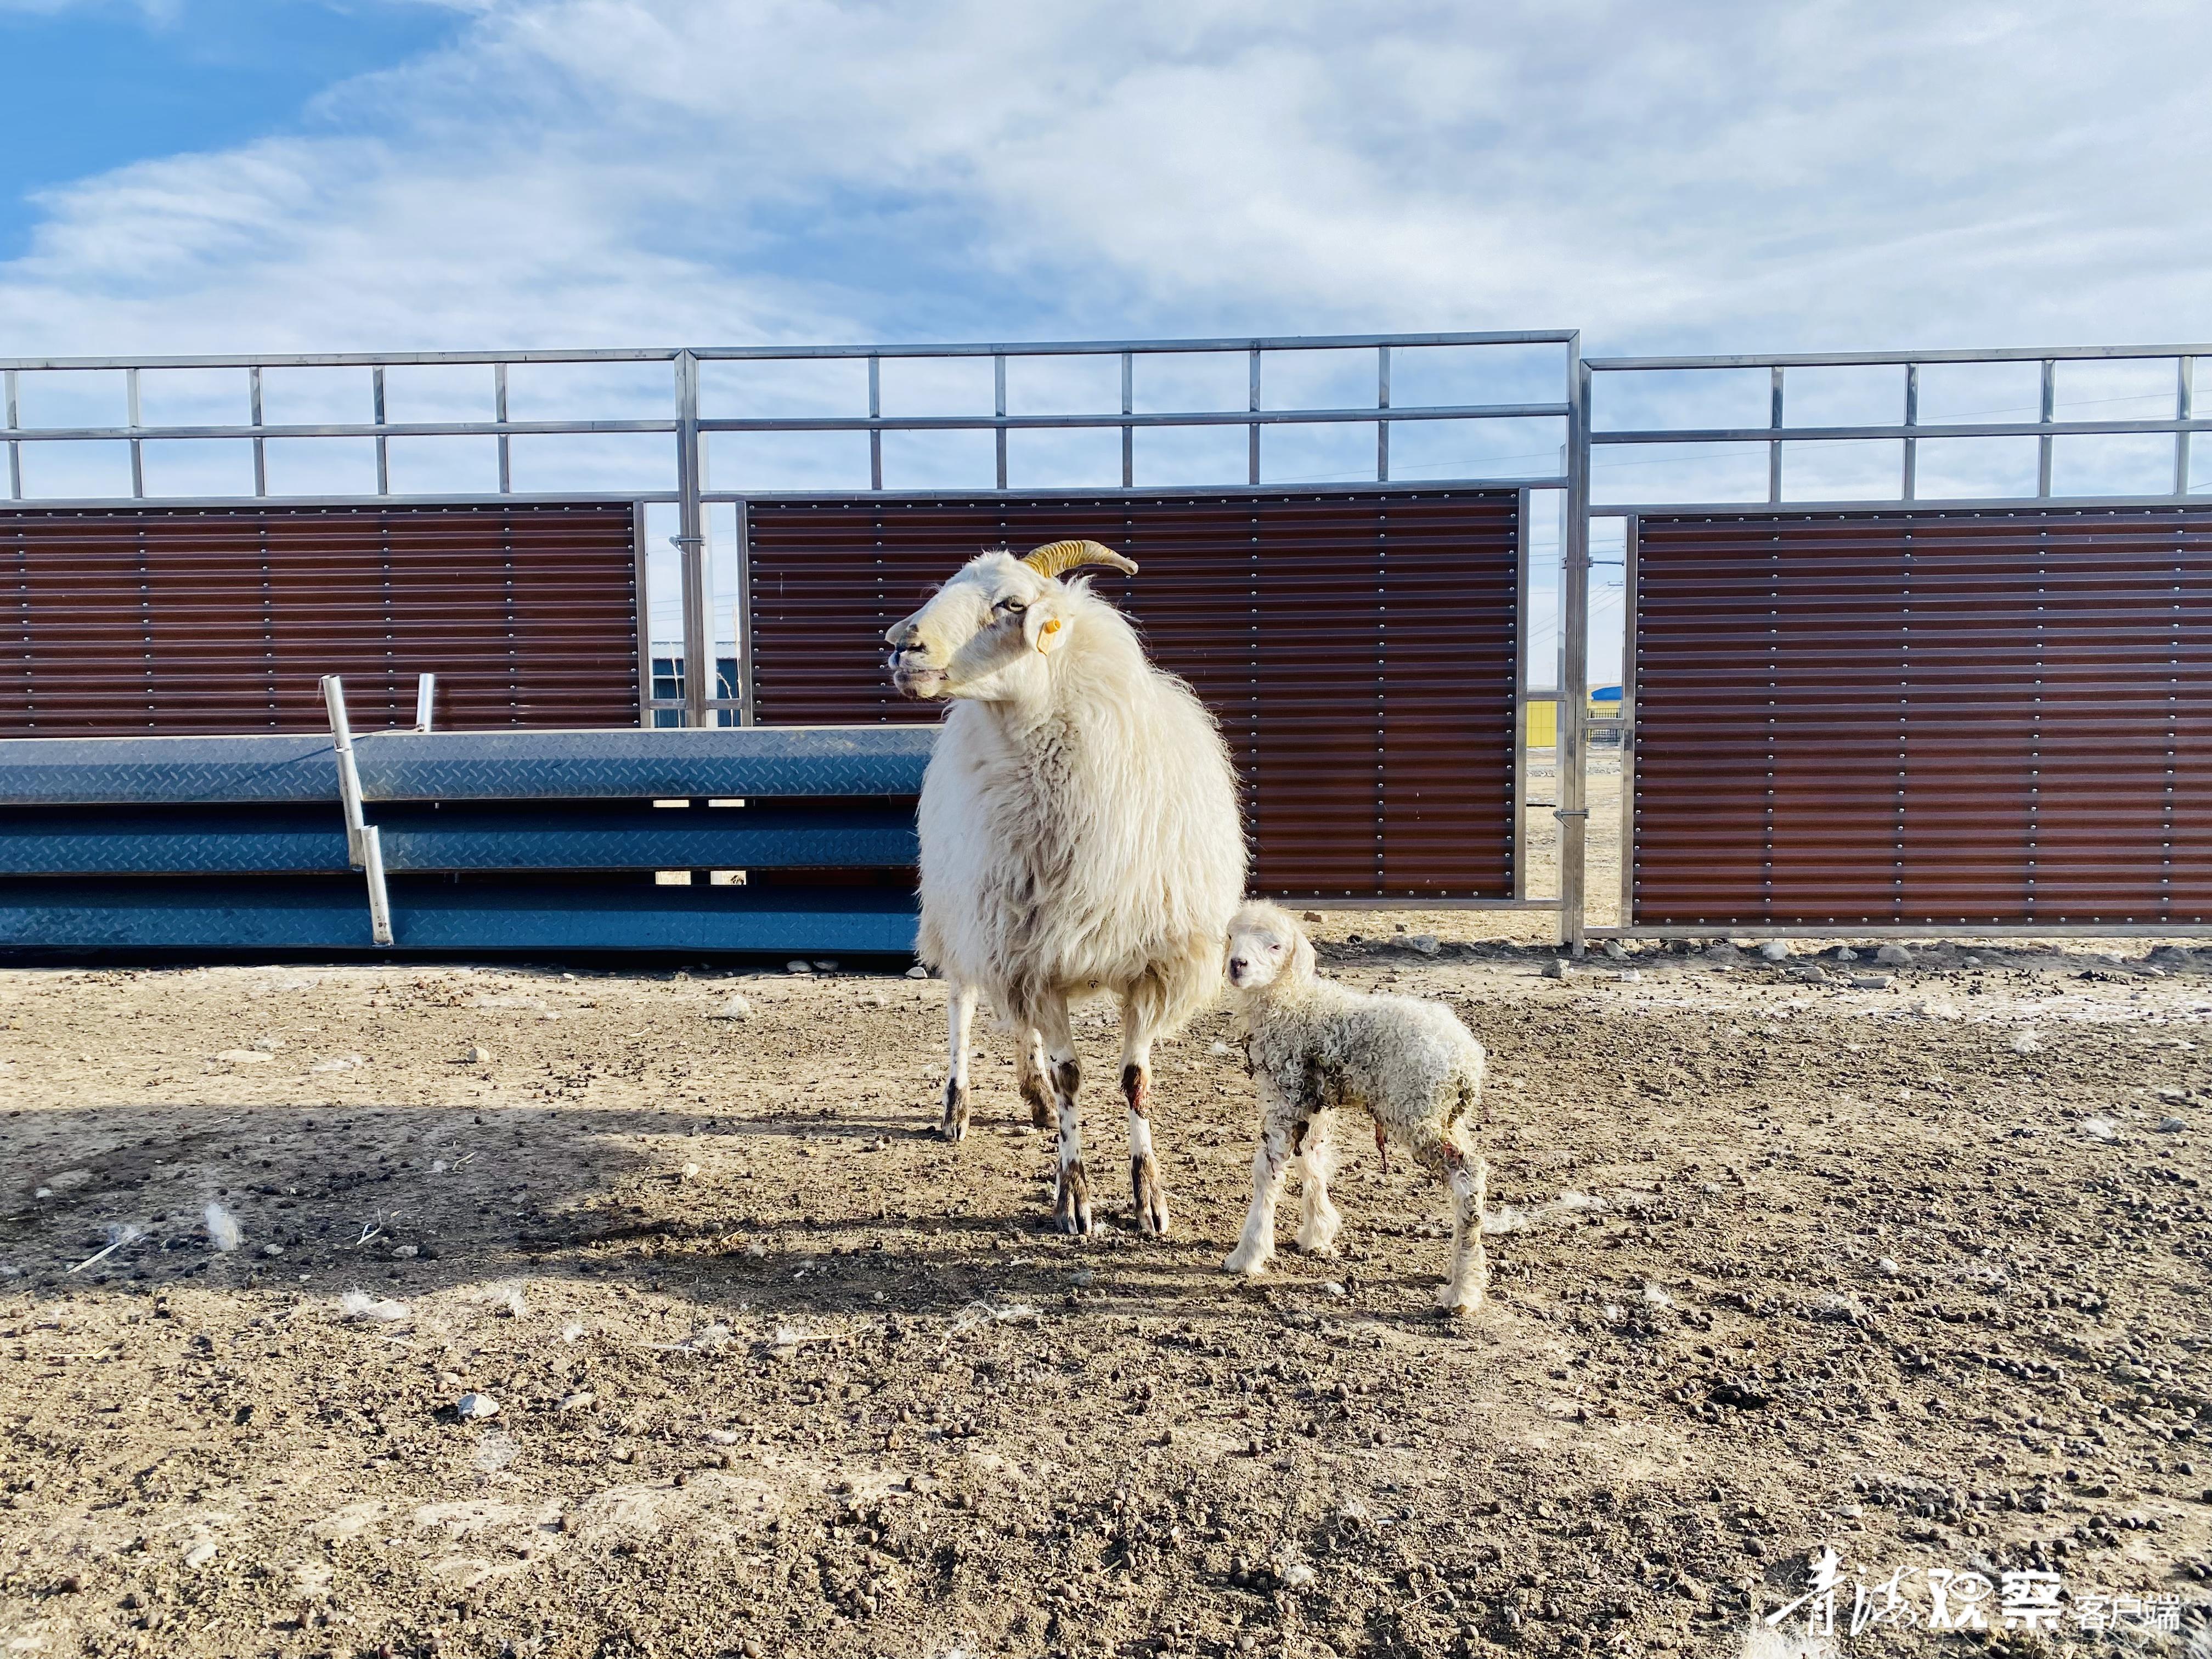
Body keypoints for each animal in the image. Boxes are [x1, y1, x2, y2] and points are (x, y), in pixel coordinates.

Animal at [889, 541, 1256, 1238]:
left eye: (1014, 604)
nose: (902, 647)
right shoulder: (1036, 964)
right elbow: (1072, 1079)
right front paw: (1074, 1194)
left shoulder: (1142, 965)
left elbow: (1135, 1079)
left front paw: (1150, 1197)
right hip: (961, 915)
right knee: (963, 1006)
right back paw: (957, 1106)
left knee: (1019, 1028)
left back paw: (1030, 1098)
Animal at [1221, 902, 1495, 1318]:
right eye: (1231, 936)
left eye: (1275, 945)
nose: (1237, 965)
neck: (1292, 1003)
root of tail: (1467, 1060)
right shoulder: (1314, 1101)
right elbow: (1312, 1161)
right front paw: (1317, 1232)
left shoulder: (1285, 1095)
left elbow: (1267, 1173)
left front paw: (1248, 1253)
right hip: (1449, 1117)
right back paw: (1461, 1271)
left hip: (1416, 1111)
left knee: (1469, 1176)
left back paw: (1461, 1290)